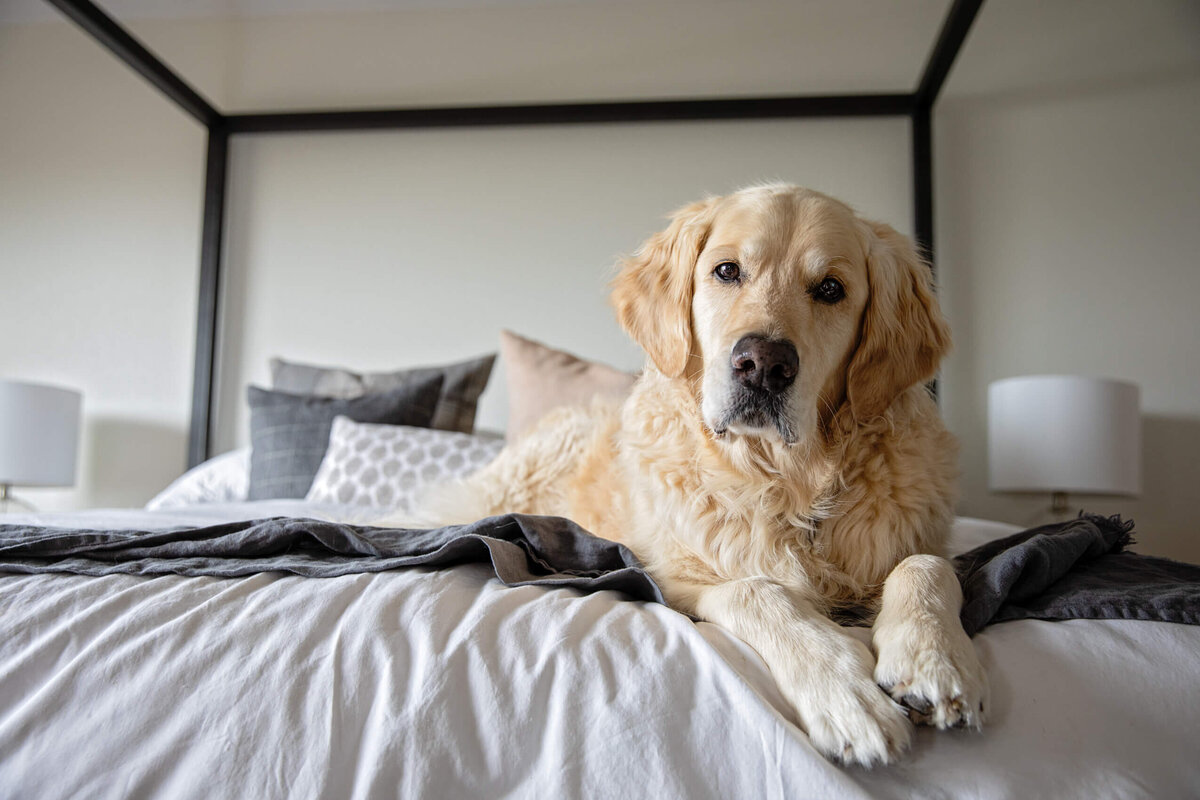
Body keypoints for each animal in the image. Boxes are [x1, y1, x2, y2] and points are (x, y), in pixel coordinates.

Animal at [427, 184, 988, 767]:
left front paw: (933, 658)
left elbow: (926, 565)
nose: (763, 364)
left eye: (831, 289)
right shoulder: (665, 574)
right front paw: (844, 693)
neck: (783, 482)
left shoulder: (923, 542)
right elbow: (757, 591)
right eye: (726, 271)